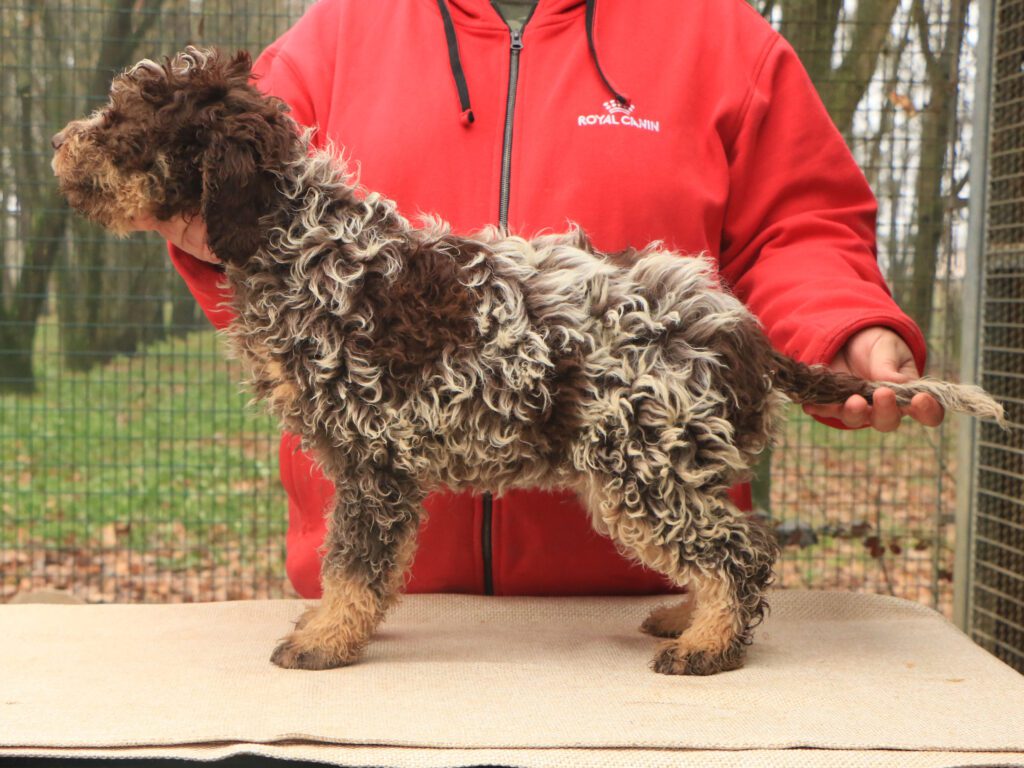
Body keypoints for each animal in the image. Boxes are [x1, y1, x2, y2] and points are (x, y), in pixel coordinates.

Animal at [51, 48, 1003, 675]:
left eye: (127, 126)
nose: (60, 145)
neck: (303, 241)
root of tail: (744, 330)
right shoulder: (379, 467)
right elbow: (366, 568)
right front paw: (342, 626)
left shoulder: (371, 462)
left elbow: (354, 562)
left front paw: (324, 640)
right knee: (731, 544)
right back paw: (684, 615)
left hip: (641, 461)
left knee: (738, 549)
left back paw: (707, 646)